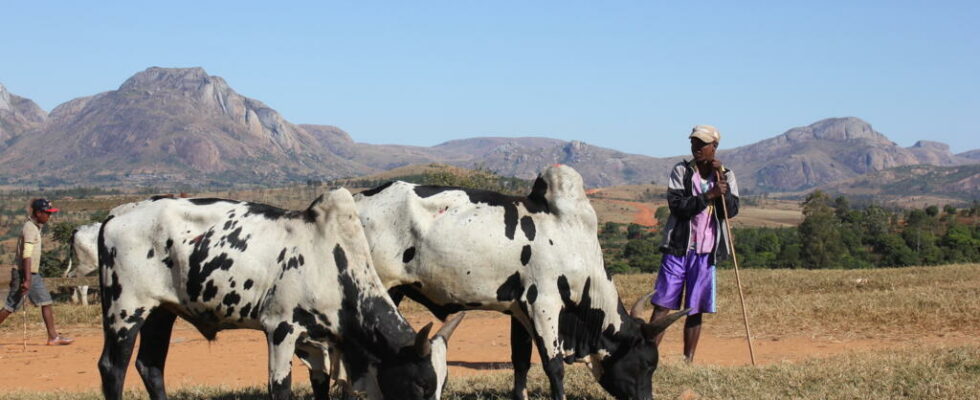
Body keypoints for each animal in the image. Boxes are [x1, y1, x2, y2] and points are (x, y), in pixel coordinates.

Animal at [95, 190, 460, 400]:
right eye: (421, 385)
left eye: (442, 384)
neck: (332, 262)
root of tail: (116, 214)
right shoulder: (281, 329)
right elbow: (280, 387)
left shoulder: (314, 342)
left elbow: (320, 383)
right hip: (125, 309)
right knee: (113, 367)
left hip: (161, 311)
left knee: (151, 366)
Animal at [356, 165, 684, 400]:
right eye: (647, 364)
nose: (647, 399)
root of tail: (358, 200)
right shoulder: (544, 304)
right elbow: (554, 367)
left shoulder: (518, 309)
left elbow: (521, 361)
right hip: (381, 287)